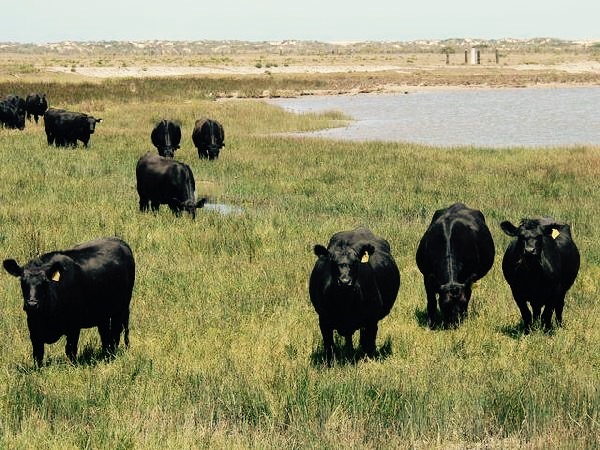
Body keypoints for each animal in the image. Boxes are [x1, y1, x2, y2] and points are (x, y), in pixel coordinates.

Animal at [310, 227, 398, 364]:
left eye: (355, 262)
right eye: (332, 262)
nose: (345, 281)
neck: (345, 303)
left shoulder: (372, 319)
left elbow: (369, 344)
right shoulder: (323, 319)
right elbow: (329, 346)